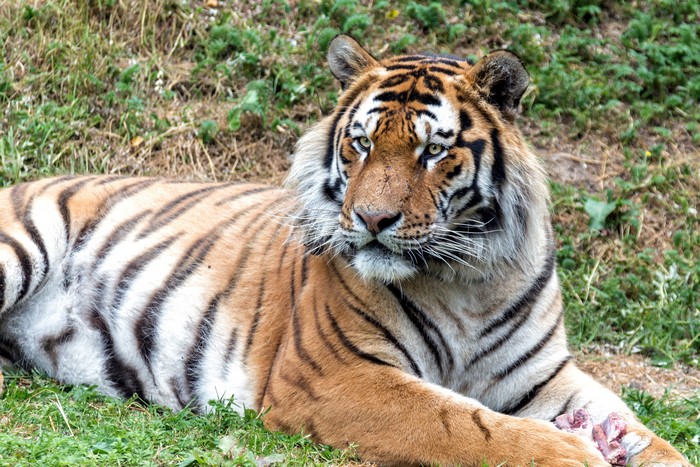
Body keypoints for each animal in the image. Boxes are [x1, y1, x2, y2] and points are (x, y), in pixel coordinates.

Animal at [0, 35, 689, 466]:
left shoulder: (545, 375)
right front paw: (569, 452)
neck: (471, 278)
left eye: (433, 151)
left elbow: (646, 432)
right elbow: (460, 423)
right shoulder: (334, 375)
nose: (371, 219)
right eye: (361, 143)